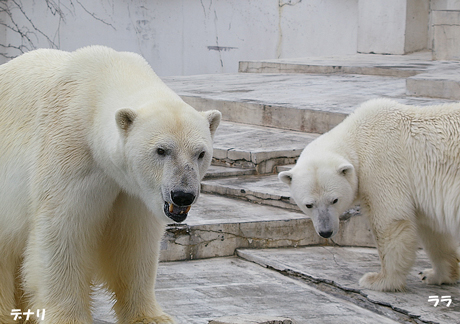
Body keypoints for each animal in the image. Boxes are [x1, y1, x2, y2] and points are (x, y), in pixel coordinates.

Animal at [0, 46, 221, 324]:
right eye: (161, 150)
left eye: (200, 153)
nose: (182, 195)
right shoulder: (70, 155)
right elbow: (63, 231)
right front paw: (69, 317)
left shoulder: (134, 191)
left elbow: (135, 242)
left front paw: (151, 317)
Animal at [278, 98, 460, 292]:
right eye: (309, 205)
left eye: (334, 200)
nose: (326, 232)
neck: (358, 137)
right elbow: (433, 232)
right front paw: (434, 275)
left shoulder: (382, 166)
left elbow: (389, 221)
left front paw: (379, 280)